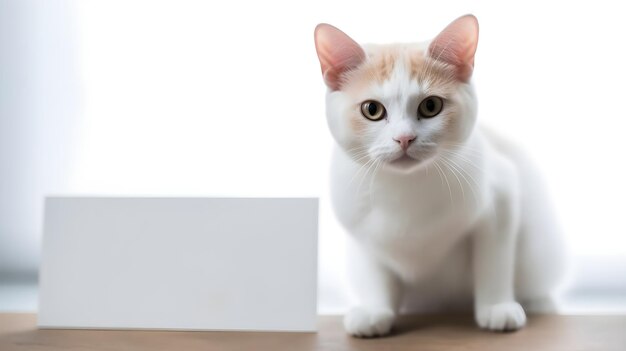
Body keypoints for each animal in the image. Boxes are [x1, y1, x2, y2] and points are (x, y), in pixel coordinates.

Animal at [314, 15, 564, 340]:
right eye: (372, 109)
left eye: (431, 106)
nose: (404, 138)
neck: (405, 189)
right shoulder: (363, 232)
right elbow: (375, 271)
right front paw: (374, 310)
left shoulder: (501, 196)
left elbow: (494, 262)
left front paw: (497, 306)